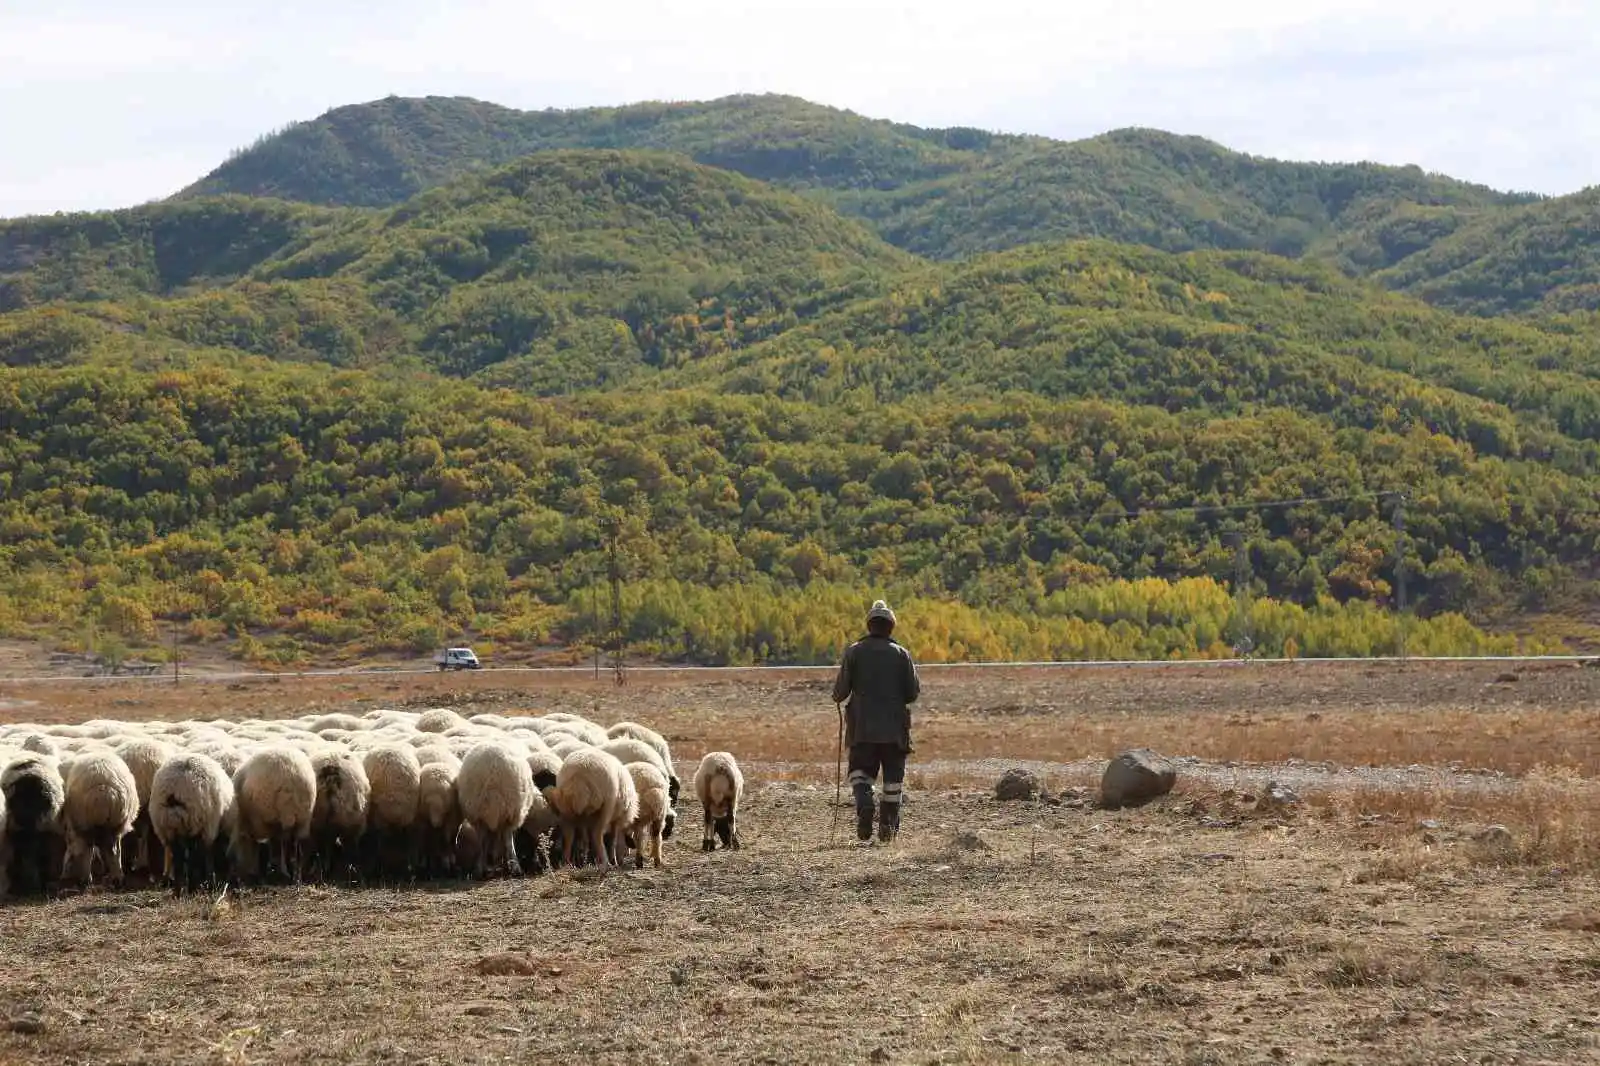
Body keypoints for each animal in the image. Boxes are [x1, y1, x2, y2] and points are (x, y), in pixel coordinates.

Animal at [58, 745, 139, 889]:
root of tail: (104, 791)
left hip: (85, 822)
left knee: (88, 850)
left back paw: (85, 879)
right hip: (116, 823)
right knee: (114, 850)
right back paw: (117, 878)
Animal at [230, 742, 316, 883]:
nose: (239, 876)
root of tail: (290, 771)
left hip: (276, 815)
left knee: (284, 842)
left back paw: (285, 872)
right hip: (303, 817)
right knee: (296, 844)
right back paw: (296, 876)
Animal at [457, 742, 537, 877]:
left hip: (479, 812)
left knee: (483, 840)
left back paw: (480, 869)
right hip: (511, 811)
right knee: (507, 840)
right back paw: (514, 867)